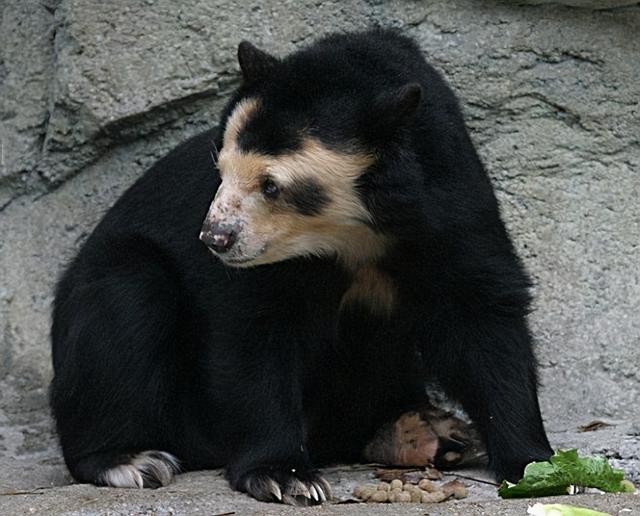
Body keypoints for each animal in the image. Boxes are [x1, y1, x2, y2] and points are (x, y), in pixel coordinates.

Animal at [50, 28, 552, 504]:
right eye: (221, 169)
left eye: (272, 185)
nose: (215, 238)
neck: (350, 231)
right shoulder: (267, 264)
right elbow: (253, 333)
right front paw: (284, 476)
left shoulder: (447, 205)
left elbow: (482, 316)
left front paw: (535, 466)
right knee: (127, 300)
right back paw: (129, 459)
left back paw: (426, 434)